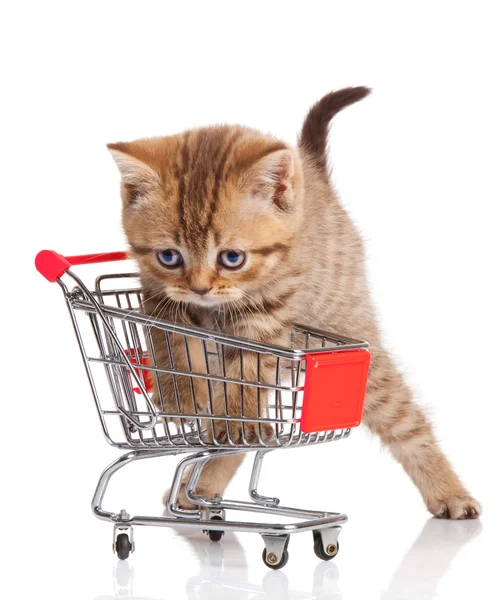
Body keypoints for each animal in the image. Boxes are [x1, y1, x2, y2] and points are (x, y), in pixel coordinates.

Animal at [108, 86, 480, 516]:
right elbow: (171, 343)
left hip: (352, 339)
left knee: (405, 419)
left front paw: (230, 419)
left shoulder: (265, 315)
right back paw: (202, 486)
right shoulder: (158, 296)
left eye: (232, 258)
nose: (200, 288)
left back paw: (449, 492)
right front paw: (181, 397)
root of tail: (314, 174)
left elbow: (246, 377)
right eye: (169, 257)